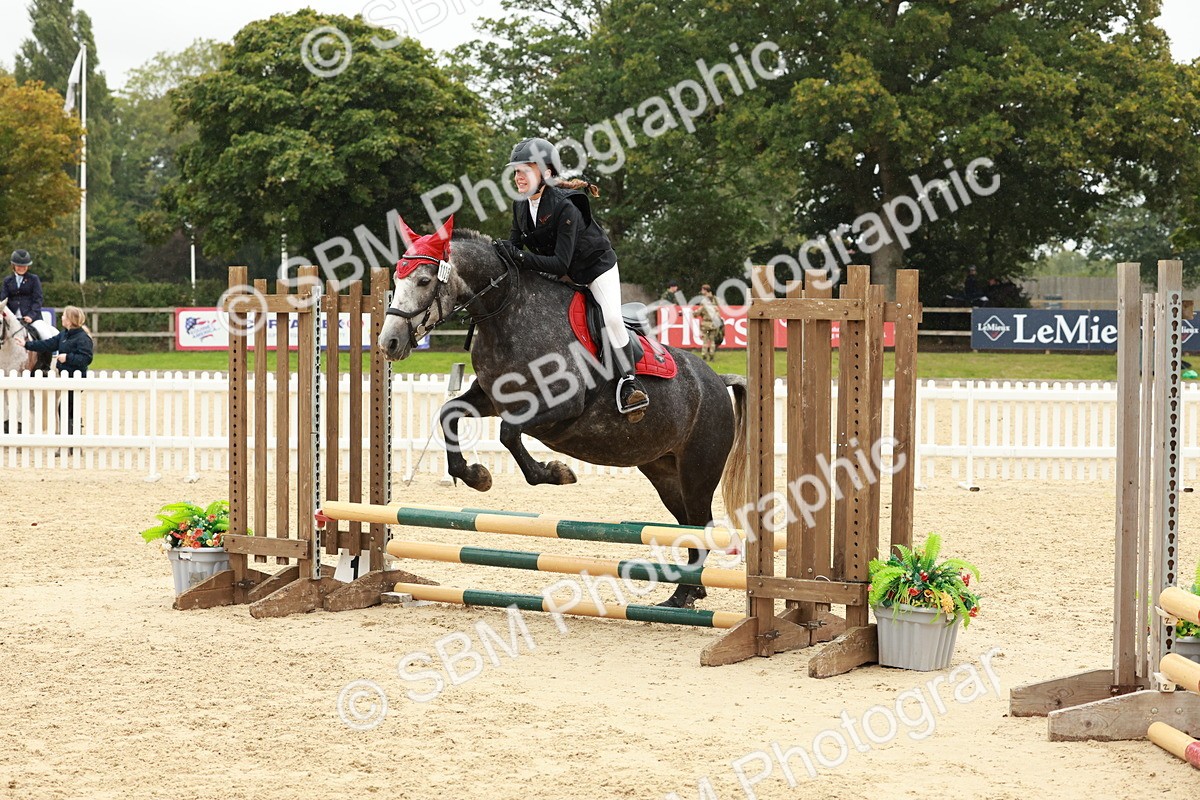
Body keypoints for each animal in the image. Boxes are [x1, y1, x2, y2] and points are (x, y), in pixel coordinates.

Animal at [377, 216, 748, 608]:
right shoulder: (492, 399)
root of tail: (716, 380)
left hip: (698, 472)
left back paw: (683, 595)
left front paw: (555, 473)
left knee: (702, 526)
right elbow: (449, 413)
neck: (507, 312)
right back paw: (690, 592)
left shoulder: (561, 407)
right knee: (691, 528)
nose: (389, 343)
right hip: (665, 474)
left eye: (423, 281)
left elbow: (508, 433)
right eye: (396, 279)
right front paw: (476, 476)